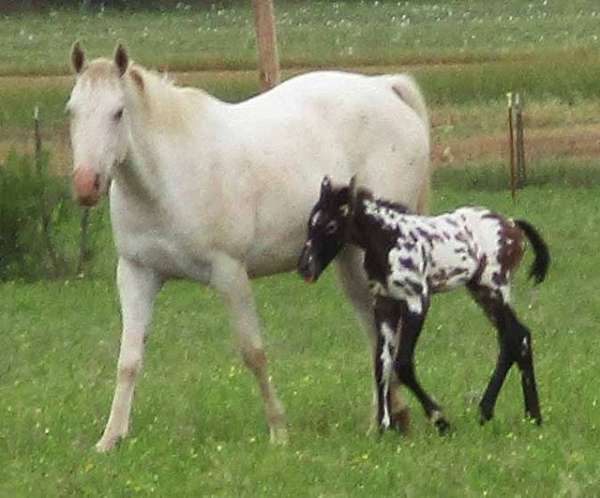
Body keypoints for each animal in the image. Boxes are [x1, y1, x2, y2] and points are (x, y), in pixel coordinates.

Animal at [65, 42, 432, 452]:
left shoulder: (229, 273)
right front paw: (110, 438)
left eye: (118, 112)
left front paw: (278, 432)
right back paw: (389, 419)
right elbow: (128, 359)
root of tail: (385, 88)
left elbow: (253, 352)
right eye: (72, 111)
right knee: (374, 330)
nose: (86, 185)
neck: (168, 177)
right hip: (351, 262)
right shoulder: (136, 274)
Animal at [298, 177, 552, 434]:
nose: (304, 268)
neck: (389, 238)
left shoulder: (417, 301)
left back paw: (498, 411)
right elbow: (382, 363)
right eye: (311, 222)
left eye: (331, 226)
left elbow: (402, 364)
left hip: (494, 289)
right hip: (481, 292)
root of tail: (512, 223)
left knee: (515, 337)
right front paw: (383, 426)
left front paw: (440, 419)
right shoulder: (384, 304)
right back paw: (528, 415)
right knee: (517, 337)